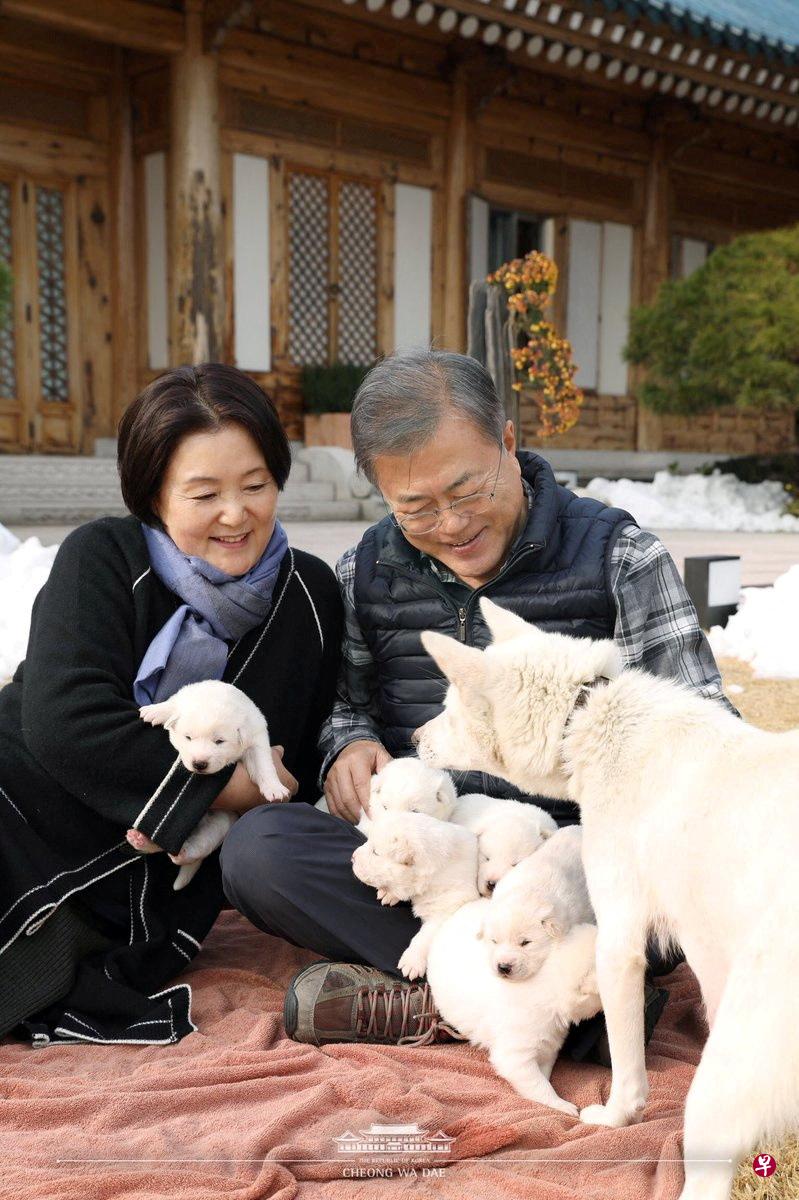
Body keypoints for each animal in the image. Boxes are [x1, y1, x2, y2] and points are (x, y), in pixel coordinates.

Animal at [136, 681, 289, 888]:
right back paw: (140, 840)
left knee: (197, 846)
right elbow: (173, 704)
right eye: (188, 737)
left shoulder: (256, 740)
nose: (199, 764)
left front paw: (274, 788)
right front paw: (155, 710)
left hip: (221, 823)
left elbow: (263, 764)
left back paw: (175, 850)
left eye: (219, 741)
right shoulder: (184, 695)